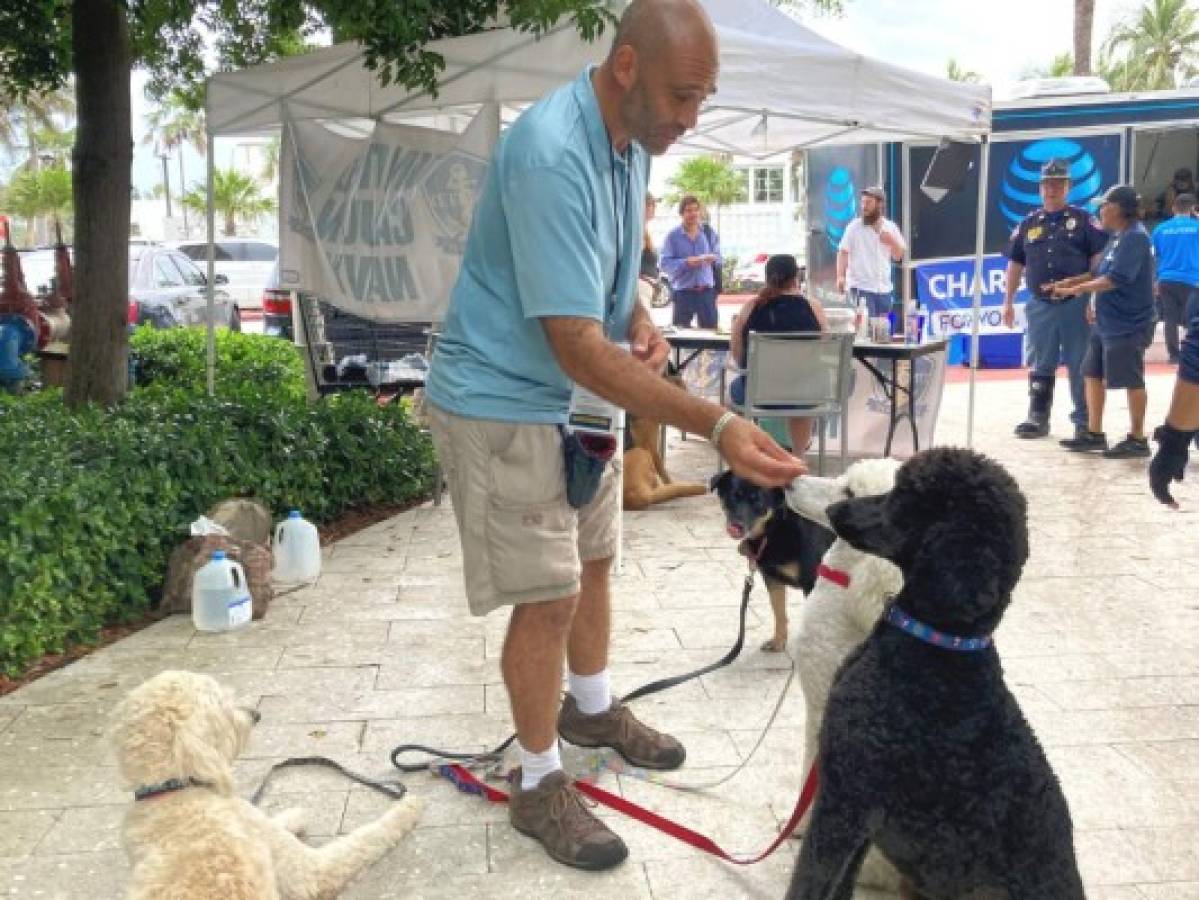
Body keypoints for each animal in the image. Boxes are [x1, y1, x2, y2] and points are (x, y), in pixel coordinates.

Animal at [709, 467, 834, 651]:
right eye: (733, 496)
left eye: (758, 501)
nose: (736, 526)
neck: (776, 527)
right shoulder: (772, 578)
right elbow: (779, 612)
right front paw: (778, 641)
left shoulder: (812, 582)